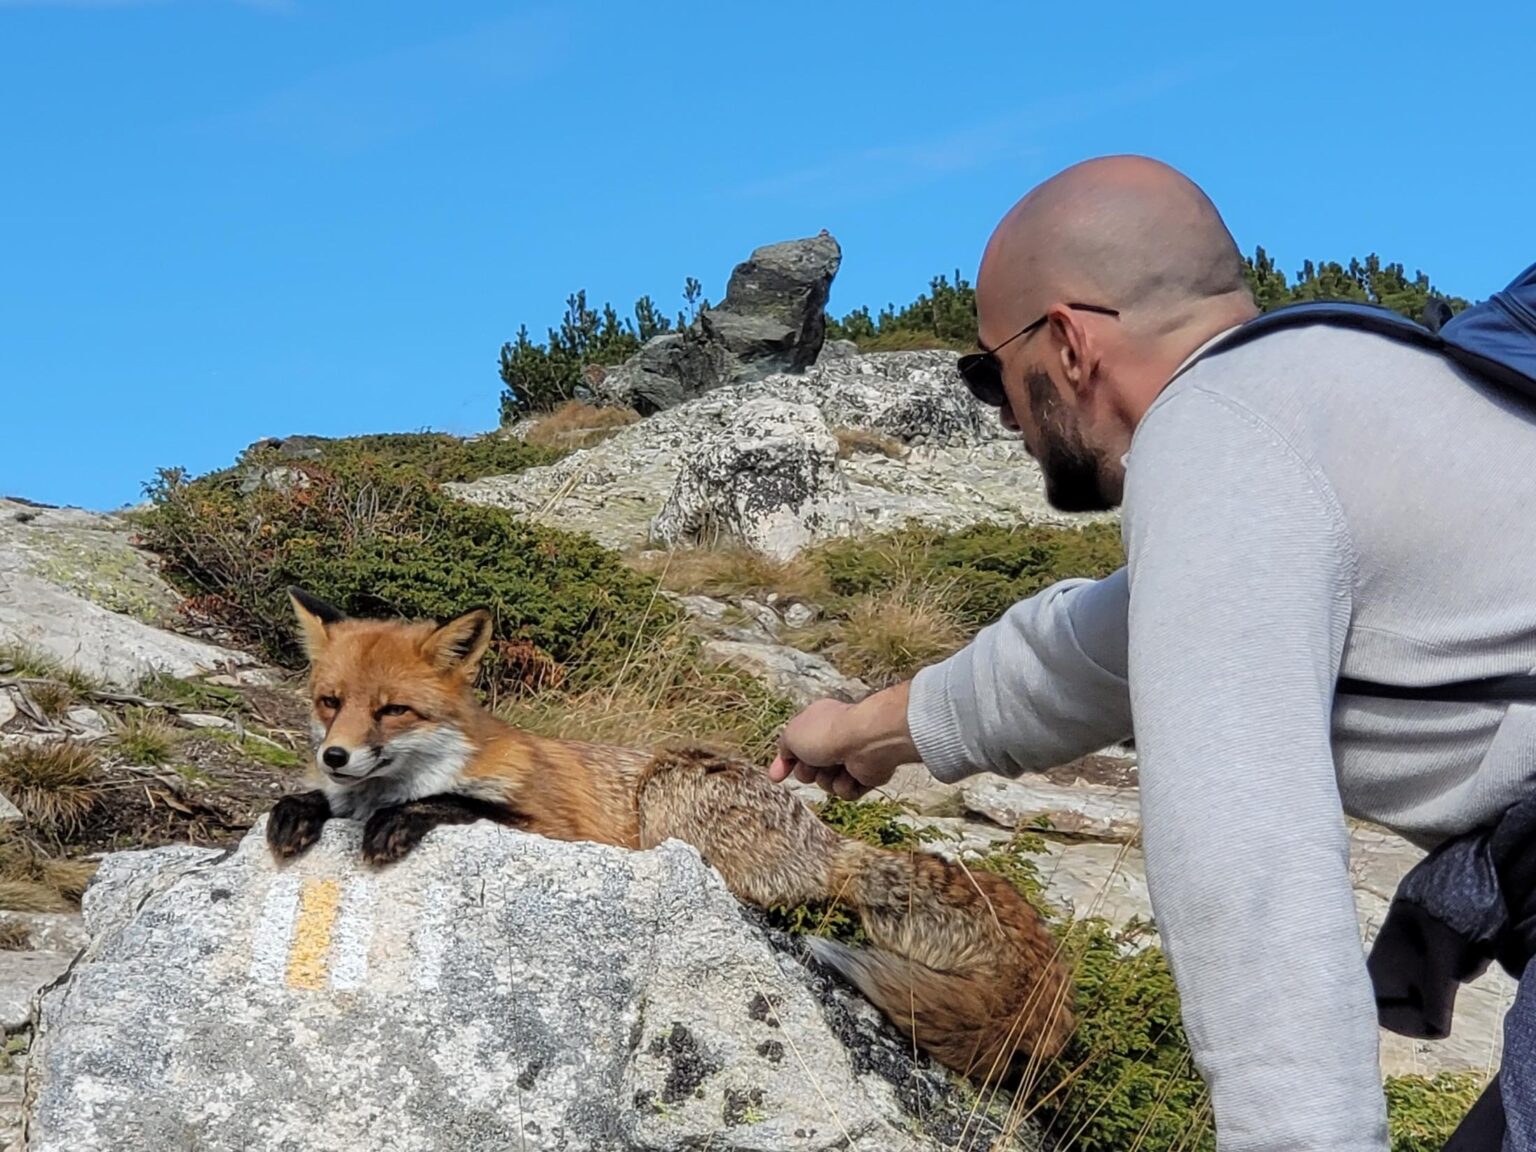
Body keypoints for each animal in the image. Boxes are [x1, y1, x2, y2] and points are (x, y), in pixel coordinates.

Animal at [266, 587, 1076, 1087]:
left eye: (393, 710)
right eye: (330, 702)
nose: (334, 755)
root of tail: (829, 840)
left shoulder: (556, 825)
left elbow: (454, 804)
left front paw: (398, 820)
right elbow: (315, 804)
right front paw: (298, 809)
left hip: (670, 785)